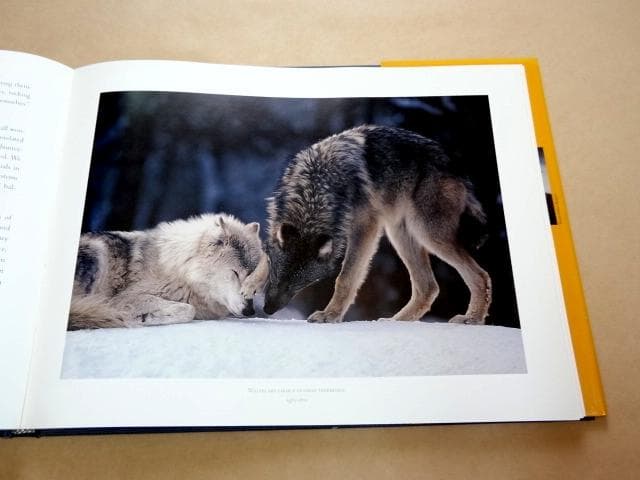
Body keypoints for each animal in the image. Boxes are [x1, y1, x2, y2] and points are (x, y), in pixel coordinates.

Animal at [68, 213, 263, 330]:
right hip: (97, 251)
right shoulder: (124, 298)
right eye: (236, 273)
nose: (249, 311)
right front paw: (138, 318)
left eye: (254, 278)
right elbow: (188, 310)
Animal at [252, 125, 492, 324]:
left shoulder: (366, 226)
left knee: (481, 276)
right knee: (428, 287)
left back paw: (472, 319)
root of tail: (455, 165)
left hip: (427, 233)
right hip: (400, 234)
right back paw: (395, 321)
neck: (317, 185)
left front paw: (330, 315)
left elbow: (345, 278)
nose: (268, 308)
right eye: (277, 272)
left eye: (299, 282)